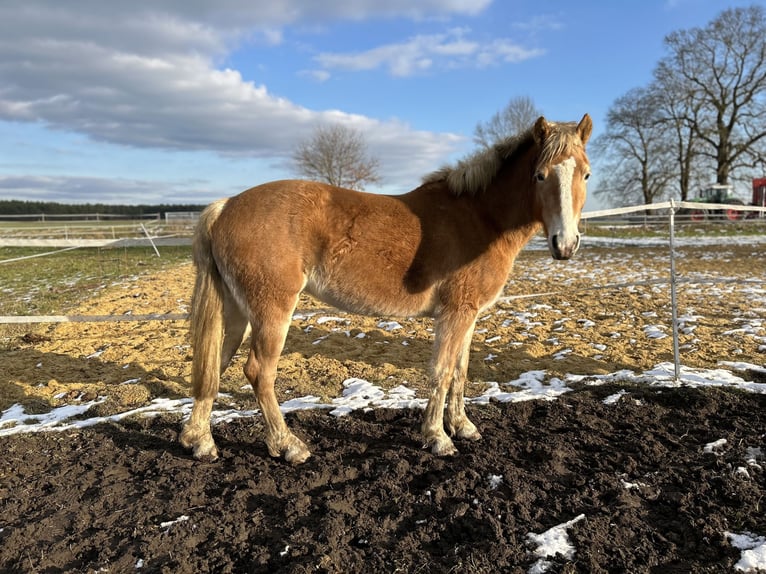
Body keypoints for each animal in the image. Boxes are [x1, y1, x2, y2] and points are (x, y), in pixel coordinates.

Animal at [180, 115, 592, 466]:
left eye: (586, 174)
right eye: (540, 175)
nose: (565, 245)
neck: (480, 216)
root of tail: (226, 207)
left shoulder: (470, 315)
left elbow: (460, 371)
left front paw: (463, 427)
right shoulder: (455, 314)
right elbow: (442, 371)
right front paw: (438, 437)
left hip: (236, 313)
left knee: (214, 366)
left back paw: (199, 441)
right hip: (271, 312)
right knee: (258, 373)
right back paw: (288, 445)